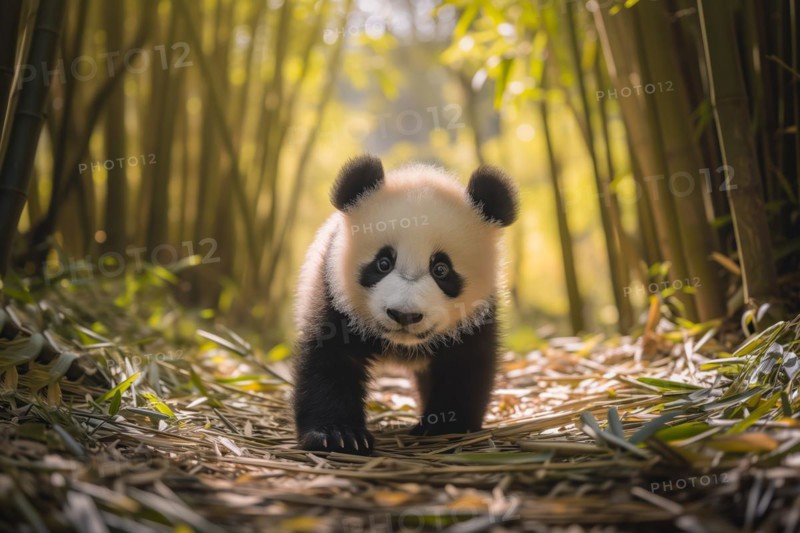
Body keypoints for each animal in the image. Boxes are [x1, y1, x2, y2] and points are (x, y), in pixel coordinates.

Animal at [293, 155, 519, 455]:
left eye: (441, 269)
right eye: (383, 263)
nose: (404, 315)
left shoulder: (477, 316)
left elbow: (464, 364)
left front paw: (445, 426)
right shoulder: (332, 293)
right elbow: (329, 359)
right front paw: (338, 435)